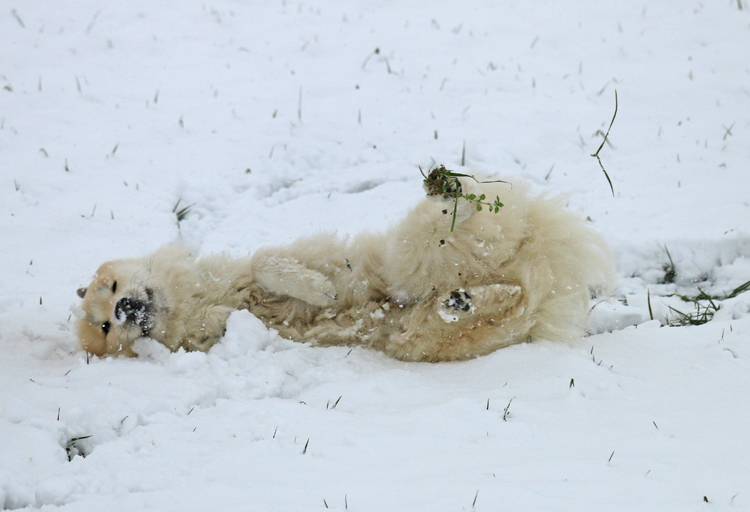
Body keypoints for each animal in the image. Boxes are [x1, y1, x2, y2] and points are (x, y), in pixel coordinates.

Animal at [73, 170, 612, 362]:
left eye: (112, 285)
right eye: (105, 328)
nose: (124, 309)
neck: (197, 299)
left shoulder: (243, 271)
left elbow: (267, 261)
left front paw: (317, 290)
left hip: (412, 259)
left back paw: (450, 187)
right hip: (422, 309)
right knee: (501, 296)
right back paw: (466, 296)